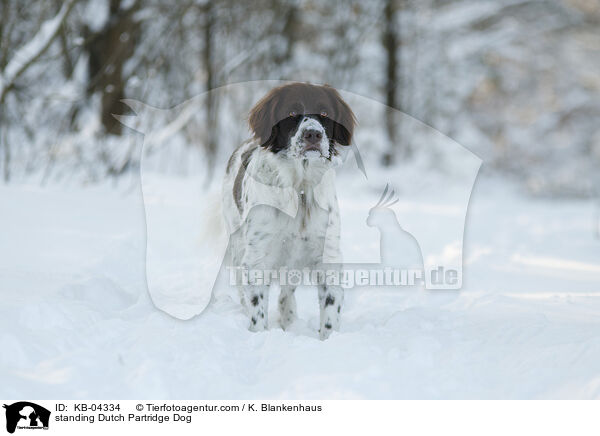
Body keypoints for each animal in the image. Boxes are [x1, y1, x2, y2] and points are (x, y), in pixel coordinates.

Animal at [221, 82, 354, 340]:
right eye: (292, 113)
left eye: (324, 113)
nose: (313, 134)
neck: (299, 188)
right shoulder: (257, 258)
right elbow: (256, 305)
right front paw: (259, 334)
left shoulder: (327, 256)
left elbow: (330, 309)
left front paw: (328, 340)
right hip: (238, 242)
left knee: (286, 292)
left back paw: (289, 320)